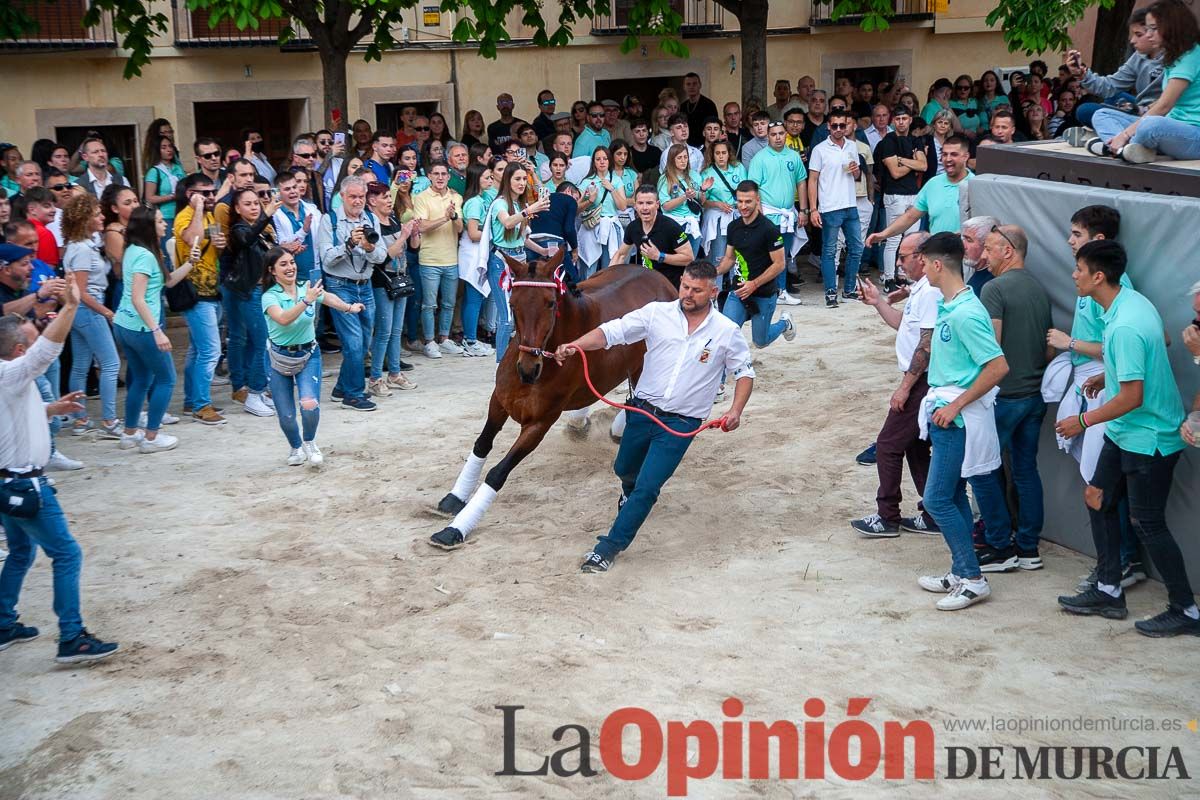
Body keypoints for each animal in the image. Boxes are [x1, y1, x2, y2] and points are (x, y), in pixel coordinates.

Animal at [429, 251, 676, 551]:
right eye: (512, 303)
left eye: (550, 303)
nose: (528, 369)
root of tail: (657, 276)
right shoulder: (499, 402)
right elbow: (482, 444)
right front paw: (455, 497)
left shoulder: (539, 423)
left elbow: (498, 472)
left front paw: (455, 529)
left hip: (646, 366)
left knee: (643, 397)